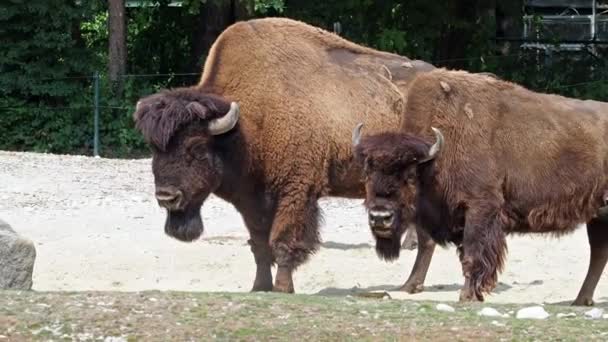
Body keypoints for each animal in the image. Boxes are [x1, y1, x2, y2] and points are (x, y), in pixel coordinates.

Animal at [133, 17, 434, 292]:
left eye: (195, 147)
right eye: (153, 147)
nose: (166, 197)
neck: (245, 127)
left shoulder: (296, 190)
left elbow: (282, 240)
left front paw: (282, 287)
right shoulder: (250, 199)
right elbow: (259, 244)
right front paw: (259, 287)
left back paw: (410, 284)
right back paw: (411, 283)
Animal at [352, 67, 608, 304]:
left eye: (410, 176)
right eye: (368, 173)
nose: (380, 217)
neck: (435, 159)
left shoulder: (479, 207)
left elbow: (473, 253)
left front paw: (467, 296)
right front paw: (473, 294)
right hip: (599, 215)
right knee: (599, 253)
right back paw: (580, 301)